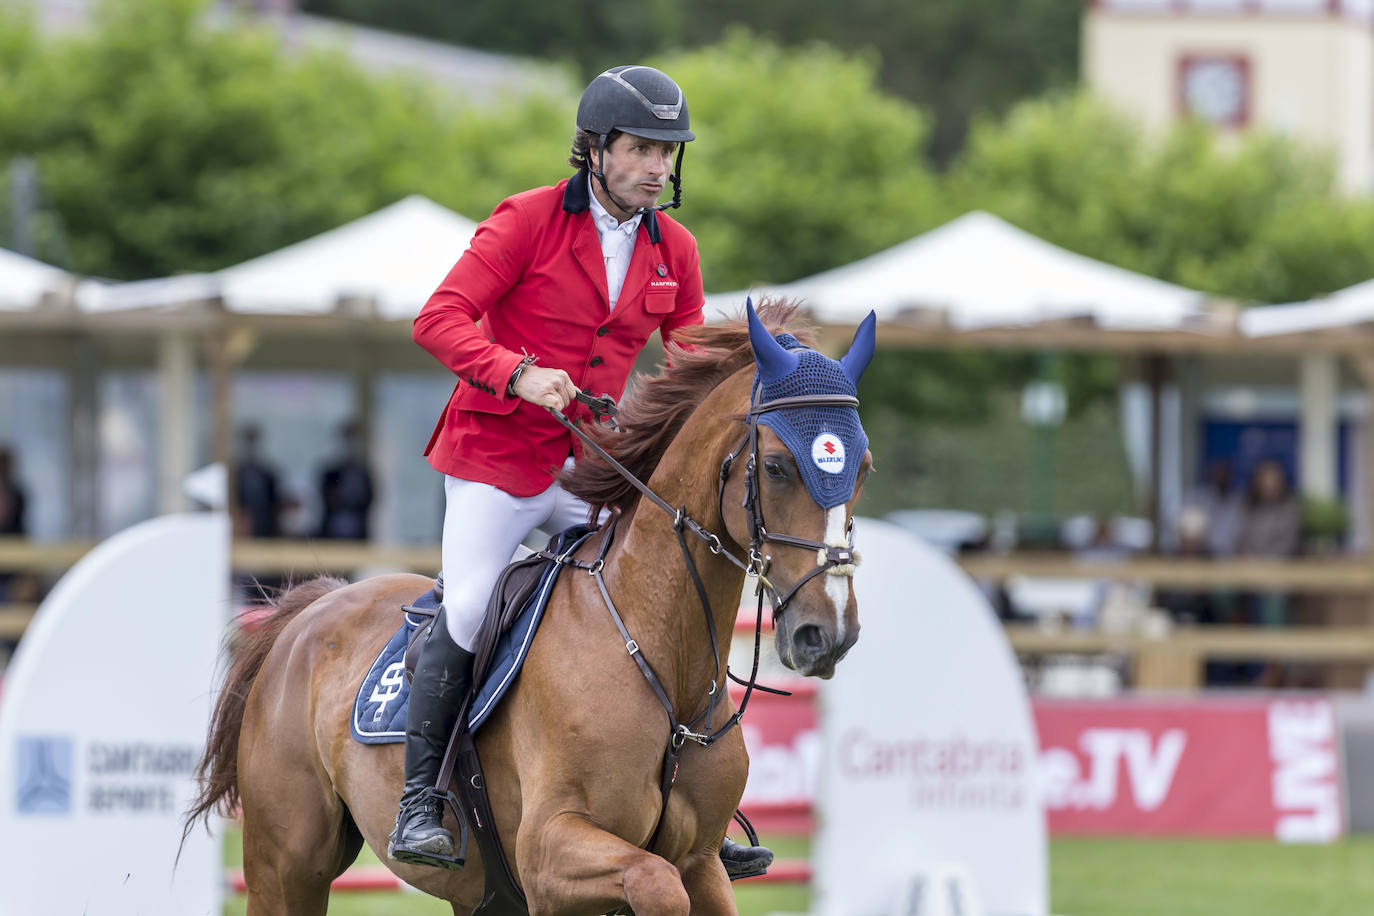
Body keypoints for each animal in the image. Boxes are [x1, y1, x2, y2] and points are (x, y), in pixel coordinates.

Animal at [185, 302, 868, 916]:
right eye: (776, 467)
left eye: (862, 467)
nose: (827, 634)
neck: (655, 648)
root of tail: (312, 609)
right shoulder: (550, 856)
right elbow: (654, 883)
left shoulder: (701, 863)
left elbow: (682, 877)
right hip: (286, 867)